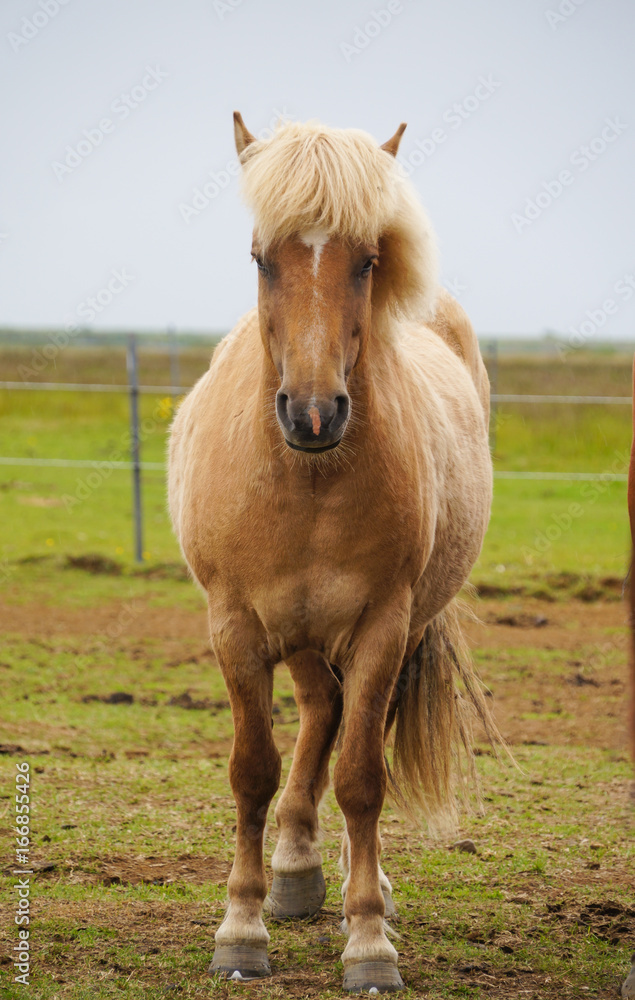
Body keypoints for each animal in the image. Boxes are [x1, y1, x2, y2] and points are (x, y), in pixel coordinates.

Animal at [168, 113, 498, 993]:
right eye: (260, 256)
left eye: (367, 262)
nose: (313, 413)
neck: (309, 476)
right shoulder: (237, 627)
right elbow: (252, 771)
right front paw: (242, 928)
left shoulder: (382, 627)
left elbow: (360, 778)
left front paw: (369, 940)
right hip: (302, 634)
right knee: (319, 713)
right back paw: (292, 871)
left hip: (382, 631)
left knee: (350, 730)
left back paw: (356, 879)